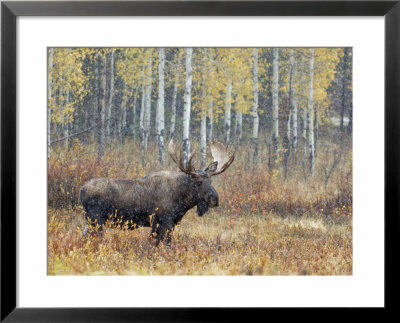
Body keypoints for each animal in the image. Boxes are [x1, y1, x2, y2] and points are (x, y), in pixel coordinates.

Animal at [79, 140, 234, 244]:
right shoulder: (164, 221)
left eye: (211, 181)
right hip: (95, 219)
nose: (215, 199)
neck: (183, 201)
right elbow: (164, 243)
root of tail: (81, 190)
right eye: (199, 182)